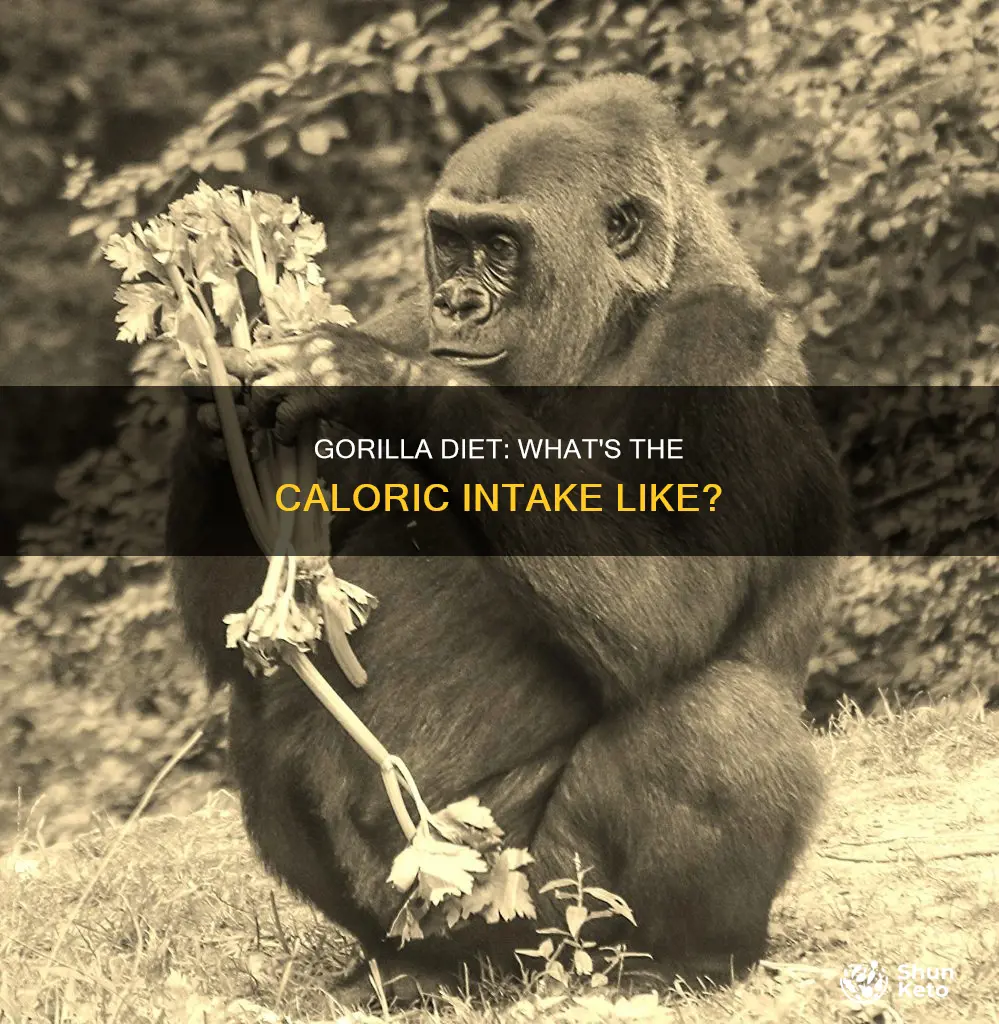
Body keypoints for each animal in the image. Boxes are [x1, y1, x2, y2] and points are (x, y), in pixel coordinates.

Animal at [168, 74, 848, 1001]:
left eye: (499, 245)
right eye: (450, 243)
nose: (456, 301)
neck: (614, 326)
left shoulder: (726, 345)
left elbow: (671, 607)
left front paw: (387, 379)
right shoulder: (404, 309)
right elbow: (248, 632)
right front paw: (216, 403)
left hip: (536, 905)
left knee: (714, 718)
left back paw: (688, 958)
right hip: (435, 906)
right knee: (263, 704)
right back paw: (401, 969)